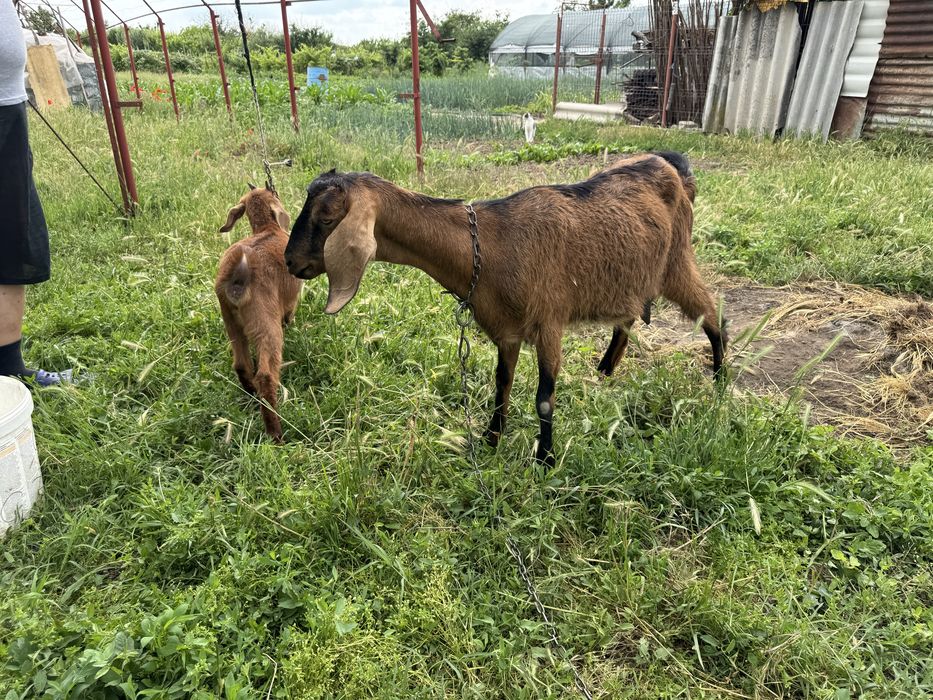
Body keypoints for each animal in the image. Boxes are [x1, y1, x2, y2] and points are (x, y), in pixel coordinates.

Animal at [215, 185, 303, 442]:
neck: (268, 228)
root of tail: (238, 273)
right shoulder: (291, 299)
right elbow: (290, 313)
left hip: (231, 321)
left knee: (241, 365)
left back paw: (252, 395)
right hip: (265, 324)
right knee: (265, 374)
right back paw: (275, 432)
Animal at [284, 152, 726, 464]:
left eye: (327, 217)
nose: (289, 261)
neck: (492, 244)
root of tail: (673, 166)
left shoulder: (549, 321)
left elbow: (544, 397)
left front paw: (544, 459)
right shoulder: (507, 331)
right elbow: (502, 383)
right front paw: (491, 438)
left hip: (677, 261)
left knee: (713, 315)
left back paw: (720, 383)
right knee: (629, 316)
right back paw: (604, 372)